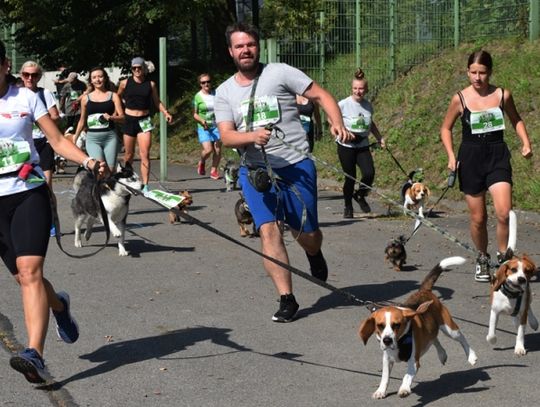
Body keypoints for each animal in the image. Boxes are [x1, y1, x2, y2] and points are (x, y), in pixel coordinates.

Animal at [358, 256, 476, 400]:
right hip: (432, 331)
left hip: (449, 328)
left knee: (461, 338)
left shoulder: (413, 361)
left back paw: (471, 356)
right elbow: (385, 377)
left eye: (396, 325)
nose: (387, 340)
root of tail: (424, 291)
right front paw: (381, 390)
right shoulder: (386, 359)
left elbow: (407, 376)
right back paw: (442, 354)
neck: (400, 342)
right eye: (380, 326)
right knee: (434, 338)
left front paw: (404, 388)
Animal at [488, 210, 536, 354]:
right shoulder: (494, 311)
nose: (521, 279)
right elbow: (491, 332)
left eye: (527, 271)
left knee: (529, 308)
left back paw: (534, 322)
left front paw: (519, 347)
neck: (511, 295)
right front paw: (492, 340)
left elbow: (520, 332)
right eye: (513, 270)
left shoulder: (523, 314)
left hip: (528, 298)